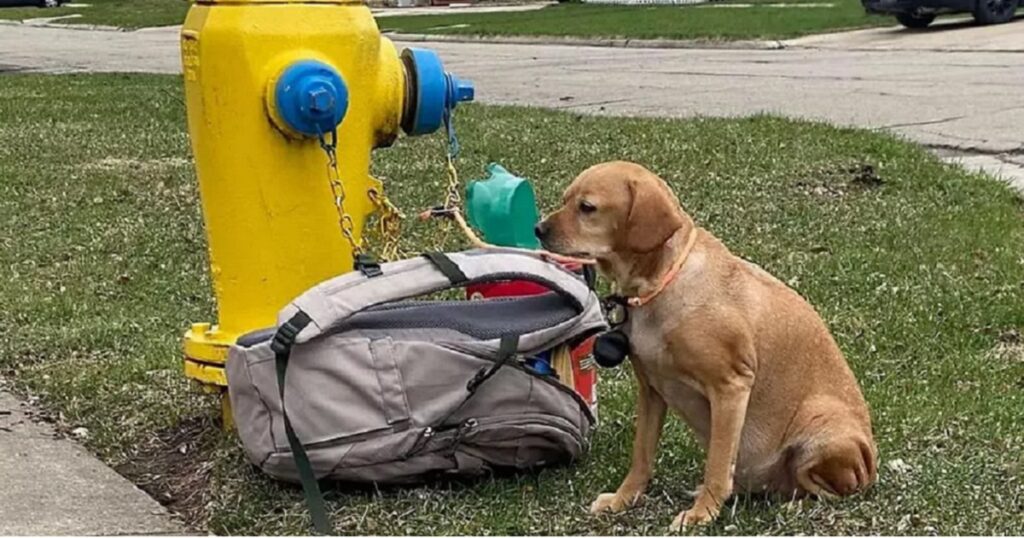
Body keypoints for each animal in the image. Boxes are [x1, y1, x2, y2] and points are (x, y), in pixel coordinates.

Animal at [532, 160, 876, 528]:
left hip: (822, 428)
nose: (538, 229)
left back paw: (795, 506)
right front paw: (623, 500)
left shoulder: (731, 387)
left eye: (587, 207)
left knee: (828, 490)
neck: (660, 285)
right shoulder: (651, 390)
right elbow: (642, 457)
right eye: (566, 199)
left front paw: (702, 513)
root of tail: (871, 464)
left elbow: (717, 464)